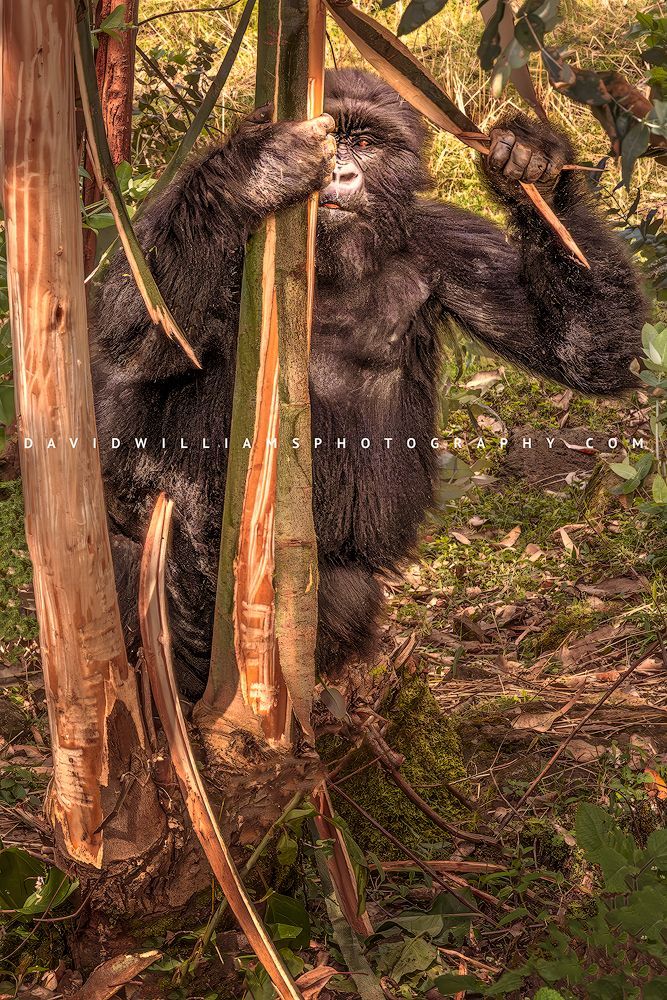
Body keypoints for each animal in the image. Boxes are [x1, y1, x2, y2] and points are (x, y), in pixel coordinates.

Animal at [90, 68, 646, 699]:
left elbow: (588, 350)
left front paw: (536, 169)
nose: (340, 171)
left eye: (367, 143)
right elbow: (136, 333)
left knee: (345, 596)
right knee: (131, 542)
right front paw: (252, 169)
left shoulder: (452, 243)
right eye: (335, 135)